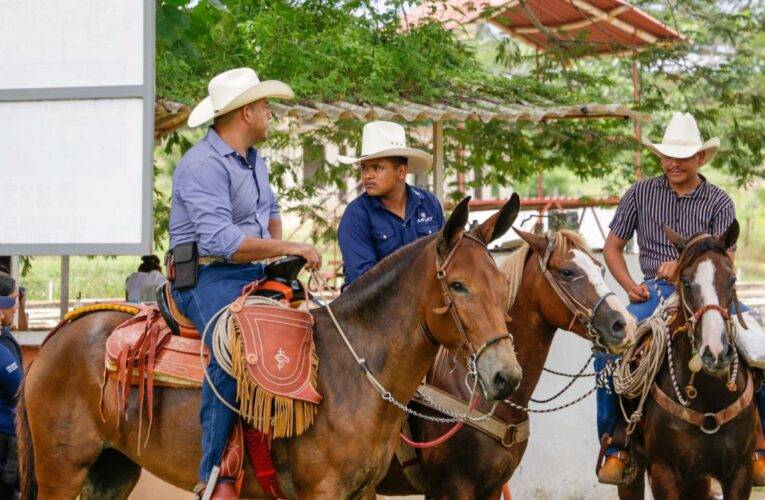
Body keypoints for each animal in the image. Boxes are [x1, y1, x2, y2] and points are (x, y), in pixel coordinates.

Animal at [17, 196, 524, 500]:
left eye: (503, 284)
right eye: (457, 285)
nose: (506, 375)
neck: (350, 373)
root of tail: (56, 336)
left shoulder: (363, 492)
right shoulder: (323, 493)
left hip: (111, 470)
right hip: (62, 471)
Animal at [616, 223, 752, 500]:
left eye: (732, 280)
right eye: (686, 282)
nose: (715, 351)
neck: (709, 397)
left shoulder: (740, 472)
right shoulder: (663, 473)